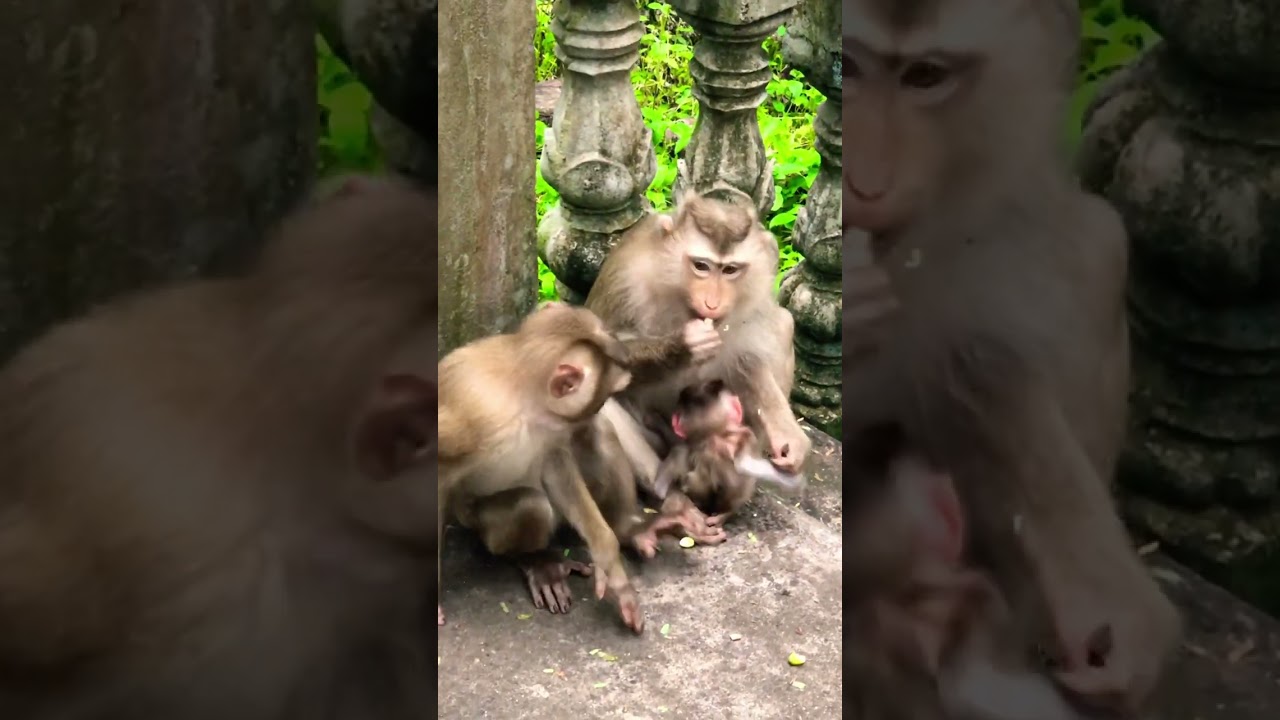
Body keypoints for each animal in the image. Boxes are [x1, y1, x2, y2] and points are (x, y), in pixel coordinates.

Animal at [436, 302, 650, 633]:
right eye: (603, 398)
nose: (593, 414)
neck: (523, 397)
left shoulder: (550, 431)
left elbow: (556, 467)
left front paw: (611, 566)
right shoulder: (469, 418)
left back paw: (624, 528)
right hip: (473, 519)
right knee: (530, 505)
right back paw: (535, 560)